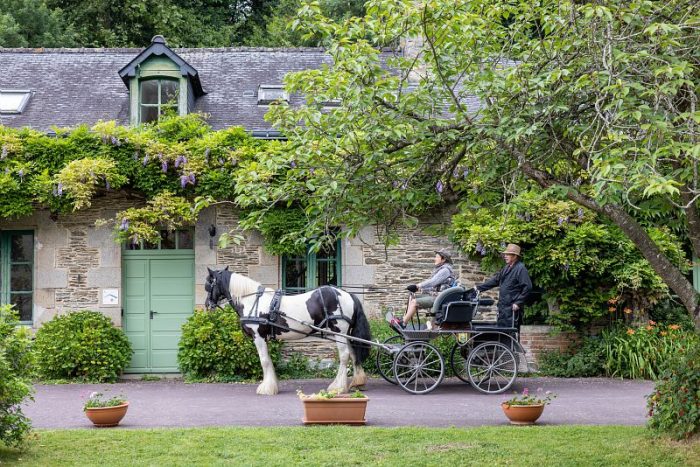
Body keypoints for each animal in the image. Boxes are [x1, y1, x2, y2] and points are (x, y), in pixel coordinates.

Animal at [204, 268, 372, 396]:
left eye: (208, 284)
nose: (207, 305)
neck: (252, 301)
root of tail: (347, 294)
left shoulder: (258, 337)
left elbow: (264, 361)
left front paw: (266, 388)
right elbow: (269, 360)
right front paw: (272, 385)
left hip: (339, 332)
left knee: (344, 356)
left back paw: (337, 387)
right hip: (345, 334)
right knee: (353, 354)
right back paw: (357, 382)